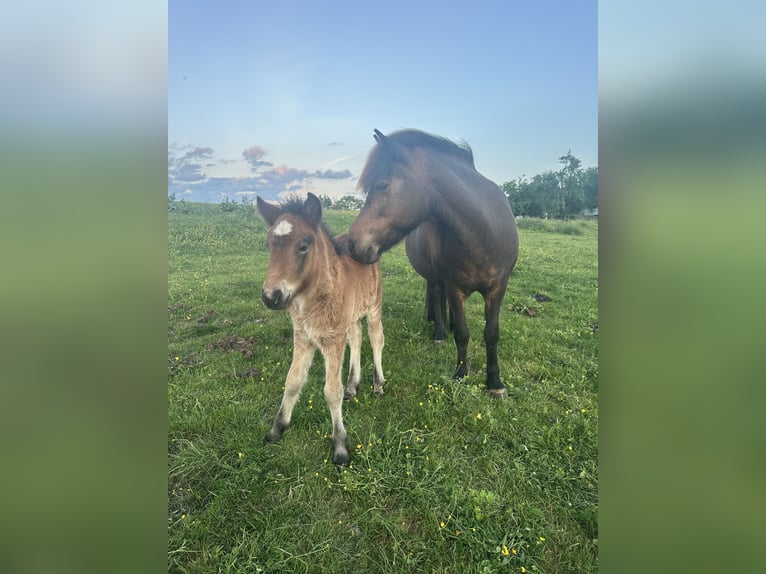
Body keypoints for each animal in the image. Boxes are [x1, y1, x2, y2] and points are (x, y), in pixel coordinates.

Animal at [256, 192, 385, 465]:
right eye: (268, 243)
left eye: (304, 245)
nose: (271, 297)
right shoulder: (303, 337)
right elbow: (292, 381)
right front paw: (276, 429)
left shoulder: (332, 340)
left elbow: (331, 391)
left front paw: (340, 446)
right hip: (351, 316)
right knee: (356, 337)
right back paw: (353, 386)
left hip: (374, 305)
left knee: (376, 338)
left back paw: (378, 385)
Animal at [347, 129, 518, 398]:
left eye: (382, 185)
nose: (352, 243)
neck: (482, 234)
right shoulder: (454, 286)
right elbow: (463, 333)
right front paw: (460, 374)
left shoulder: (497, 289)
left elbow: (491, 334)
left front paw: (495, 382)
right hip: (435, 278)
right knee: (436, 295)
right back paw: (439, 331)